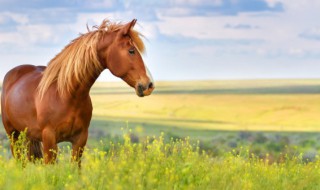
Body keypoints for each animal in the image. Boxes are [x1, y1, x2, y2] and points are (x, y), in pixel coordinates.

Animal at [0, 18, 155, 165]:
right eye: (131, 51)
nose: (149, 85)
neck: (66, 95)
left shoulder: (80, 140)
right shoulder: (49, 139)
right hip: (13, 136)